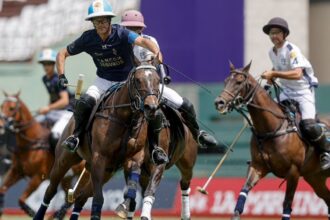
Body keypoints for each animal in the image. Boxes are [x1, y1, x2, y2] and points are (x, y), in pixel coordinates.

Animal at [32, 64, 168, 220]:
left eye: (158, 80)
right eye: (138, 80)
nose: (151, 107)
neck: (126, 119)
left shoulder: (134, 158)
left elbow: (132, 190)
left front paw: (124, 206)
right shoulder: (100, 158)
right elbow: (99, 199)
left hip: (106, 171)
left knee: (80, 197)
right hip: (64, 160)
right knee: (51, 189)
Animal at [214, 62, 330, 220]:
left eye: (239, 81)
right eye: (226, 81)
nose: (219, 103)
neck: (272, 128)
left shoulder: (293, 171)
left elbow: (287, 204)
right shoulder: (258, 166)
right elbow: (243, 191)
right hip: (315, 177)